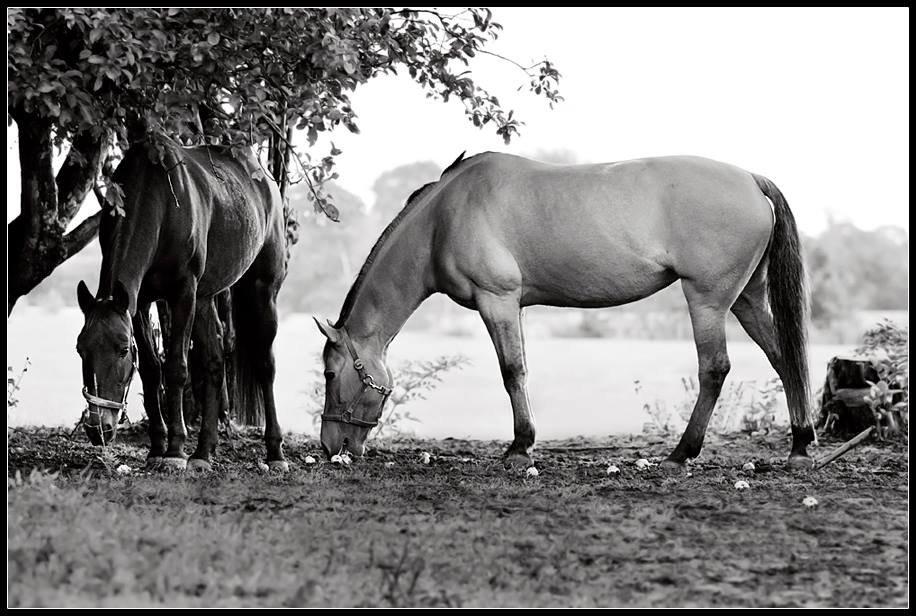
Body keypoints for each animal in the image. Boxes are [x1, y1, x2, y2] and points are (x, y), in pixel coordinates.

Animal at [77, 140, 288, 472]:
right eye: (80, 349)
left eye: (122, 350)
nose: (99, 429)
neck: (160, 201)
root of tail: (263, 176)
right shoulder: (140, 301)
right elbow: (152, 370)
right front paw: (157, 448)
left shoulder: (183, 293)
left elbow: (176, 367)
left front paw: (175, 450)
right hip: (204, 300)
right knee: (214, 363)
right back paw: (203, 452)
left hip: (262, 291)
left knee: (265, 366)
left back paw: (275, 453)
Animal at [316, 152, 816, 470]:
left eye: (329, 373)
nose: (330, 445)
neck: (444, 216)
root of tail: (750, 178)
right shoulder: (511, 307)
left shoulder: (497, 300)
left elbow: (512, 372)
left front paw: (520, 447)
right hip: (747, 299)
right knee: (784, 358)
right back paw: (800, 446)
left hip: (707, 301)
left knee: (714, 369)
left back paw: (680, 454)